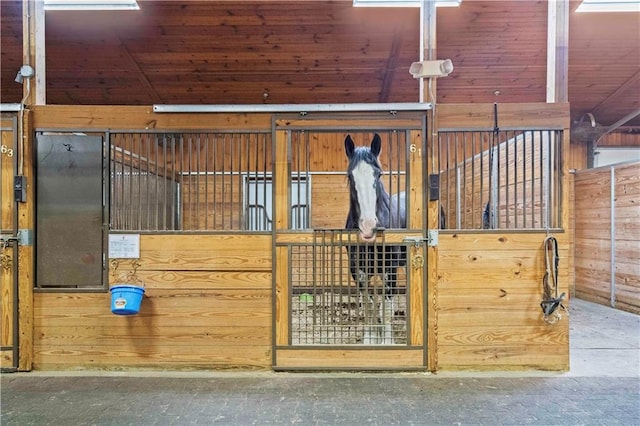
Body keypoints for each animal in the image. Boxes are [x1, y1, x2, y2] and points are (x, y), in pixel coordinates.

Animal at [344, 135, 404, 344]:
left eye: (378, 175)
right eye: (350, 176)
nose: (368, 226)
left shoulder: (389, 269)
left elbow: (385, 307)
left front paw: (387, 341)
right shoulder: (358, 271)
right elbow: (369, 304)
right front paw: (370, 337)